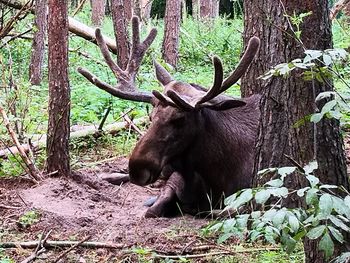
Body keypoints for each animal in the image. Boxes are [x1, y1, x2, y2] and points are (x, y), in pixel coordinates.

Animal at [78, 17, 260, 219]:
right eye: (150, 116)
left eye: (180, 120)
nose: (137, 169)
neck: (215, 179)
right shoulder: (174, 182)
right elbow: (152, 211)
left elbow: (220, 211)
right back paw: (107, 176)